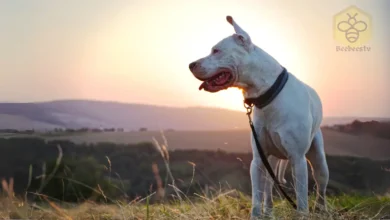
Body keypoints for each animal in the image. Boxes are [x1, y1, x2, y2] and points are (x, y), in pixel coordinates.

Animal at [189, 15, 330, 218]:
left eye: (216, 51)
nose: (190, 65)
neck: (268, 96)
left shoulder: (298, 159)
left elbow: (302, 196)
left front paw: (302, 214)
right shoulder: (257, 160)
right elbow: (257, 194)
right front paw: (257, 214)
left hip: (318, 158)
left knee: (321, 184)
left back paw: (321, 209)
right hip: (270, 159)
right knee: (269, 188)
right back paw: (269, 212)